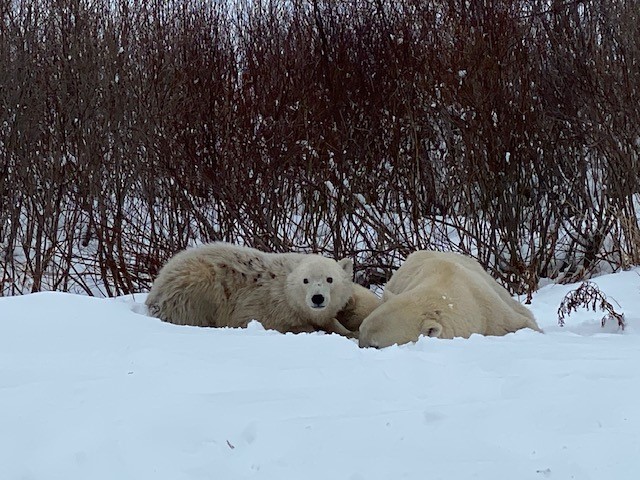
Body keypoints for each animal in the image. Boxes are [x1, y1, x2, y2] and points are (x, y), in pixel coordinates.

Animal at [145, 241, 358, 336]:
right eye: (305, 280)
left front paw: (347, 331)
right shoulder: (262, 304)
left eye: (329, 279)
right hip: (196, 284)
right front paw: (306, 328)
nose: (317, 298)